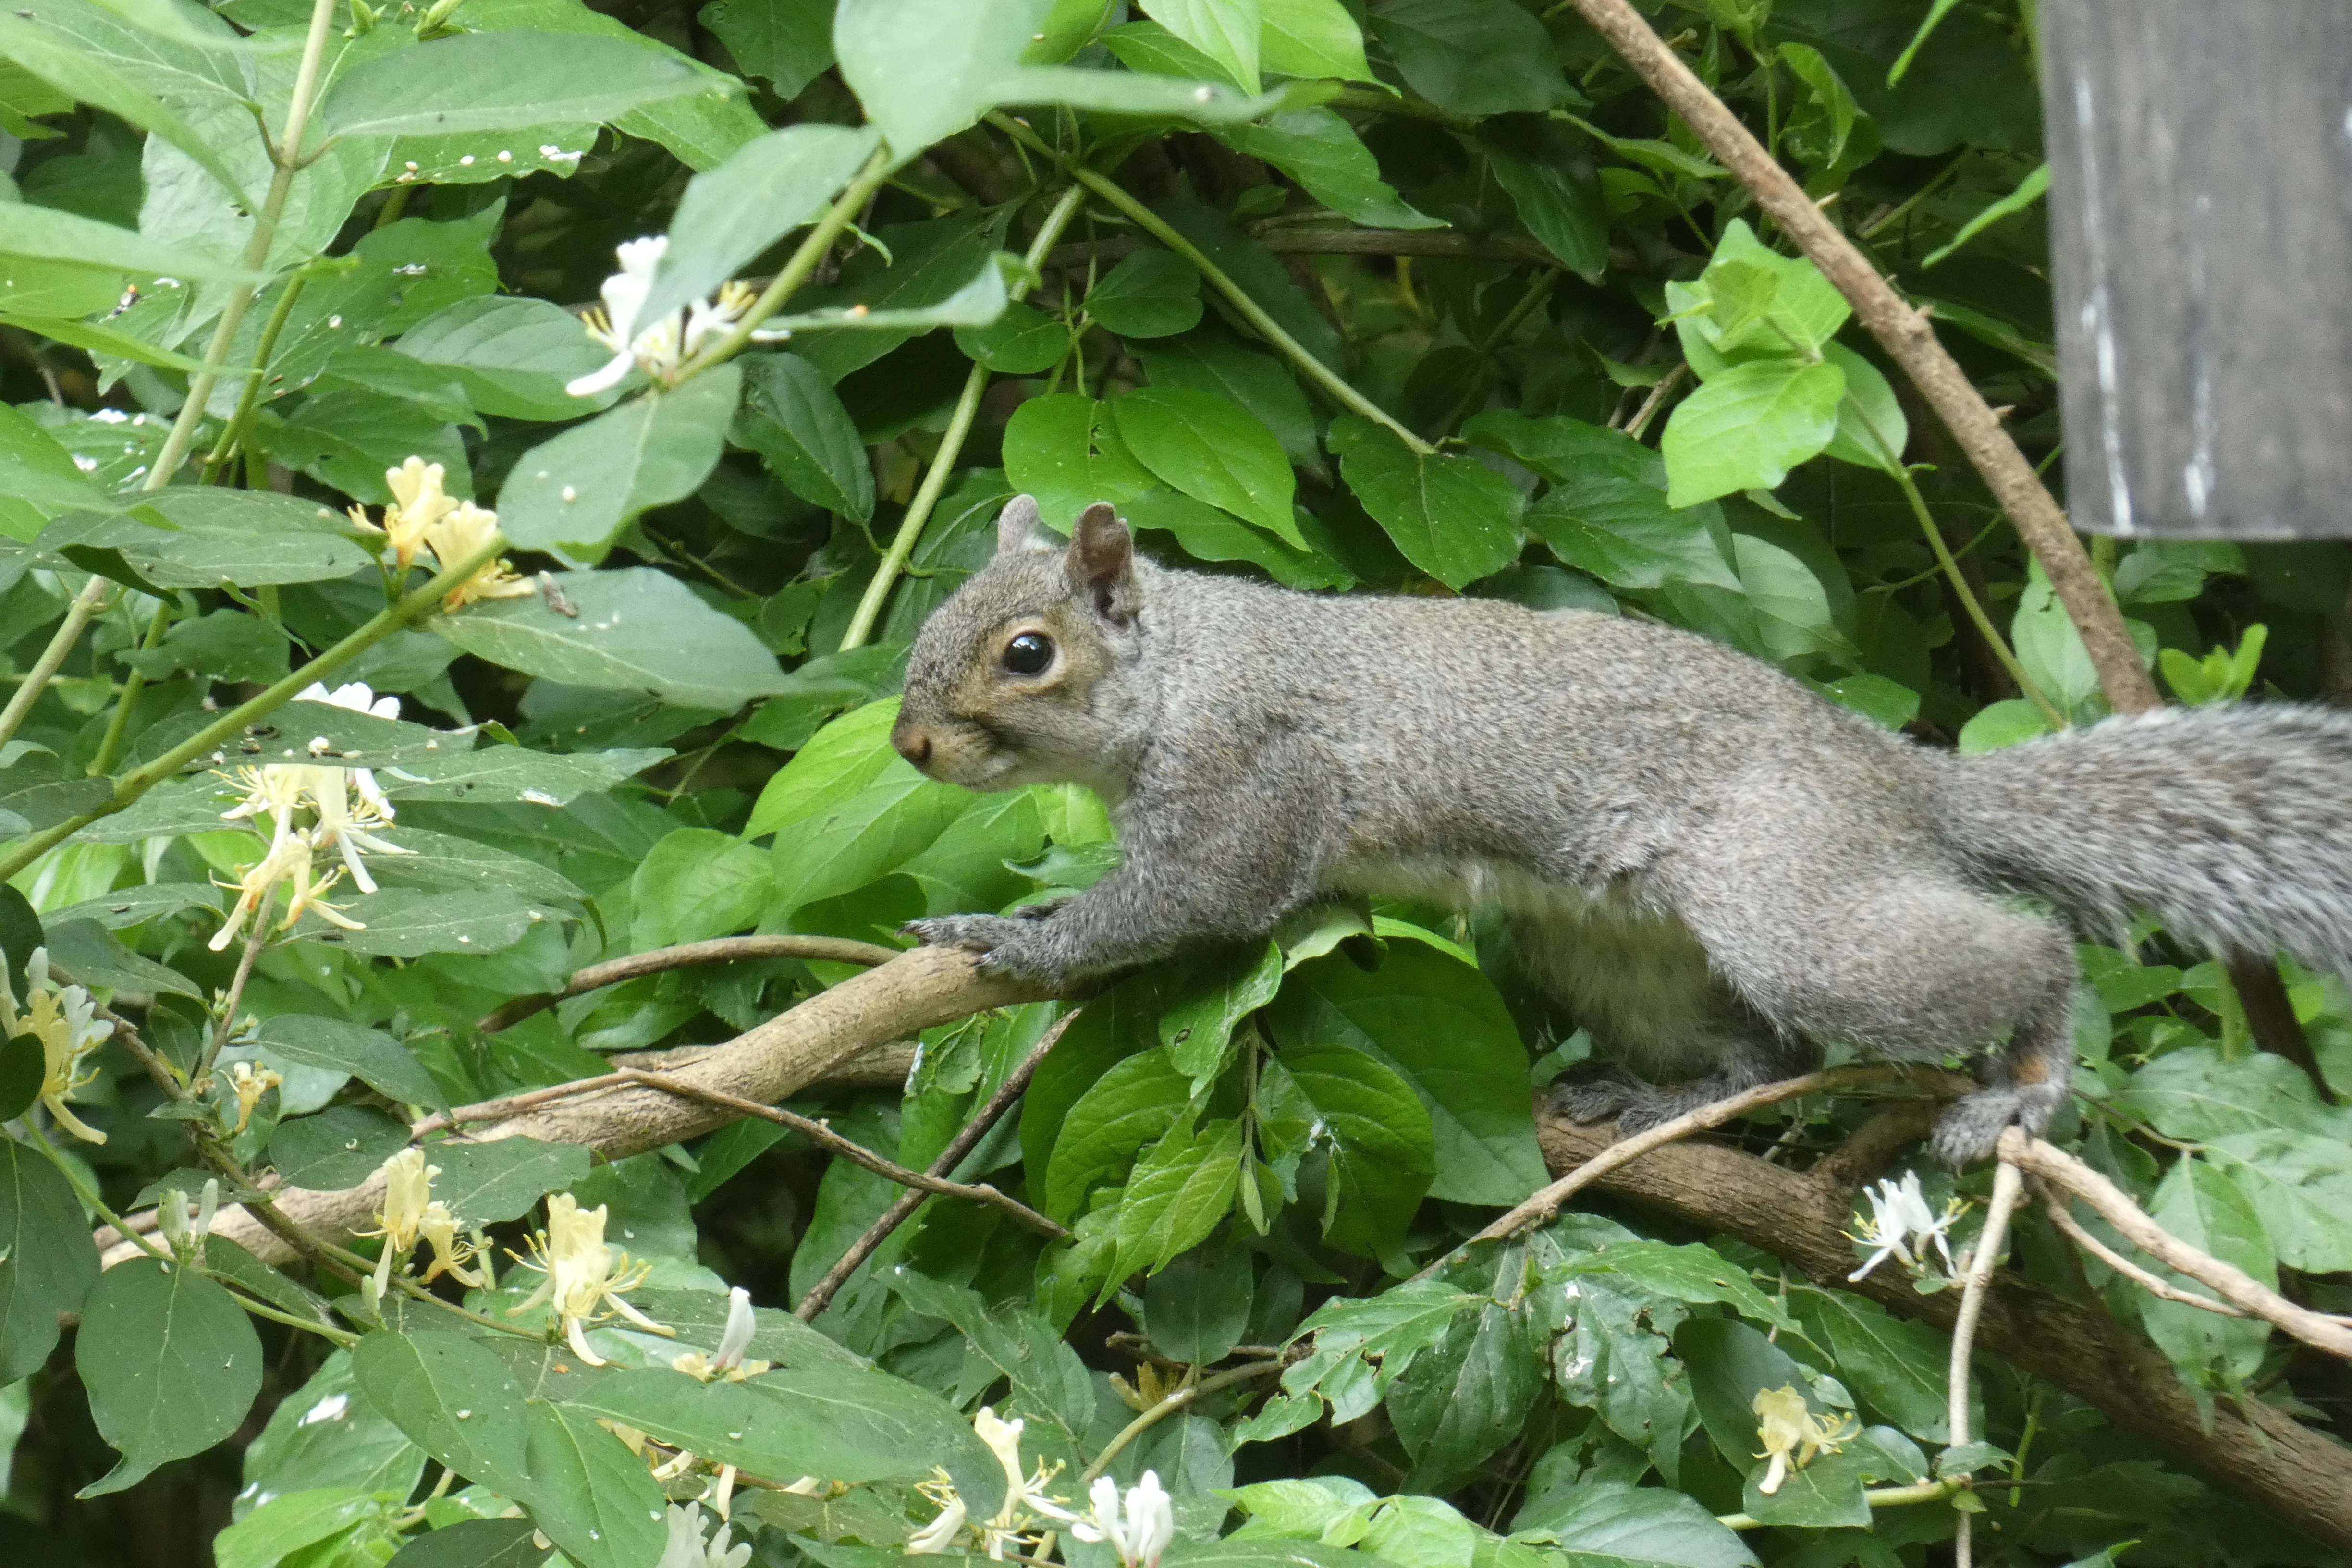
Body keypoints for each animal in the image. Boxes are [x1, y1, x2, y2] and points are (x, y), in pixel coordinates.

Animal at [891, 496, 2352, 1166]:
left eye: (1028, 652)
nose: (909, 746)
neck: (1185, 672)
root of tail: (1894, 779)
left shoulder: (1246, 787)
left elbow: (1180, 905)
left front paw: (1008, 939)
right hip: (1616, 956)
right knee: (1772, 1054)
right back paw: (1666, 1099)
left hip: (1794, 901)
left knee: (2017, 955)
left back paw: (2030, 1080)